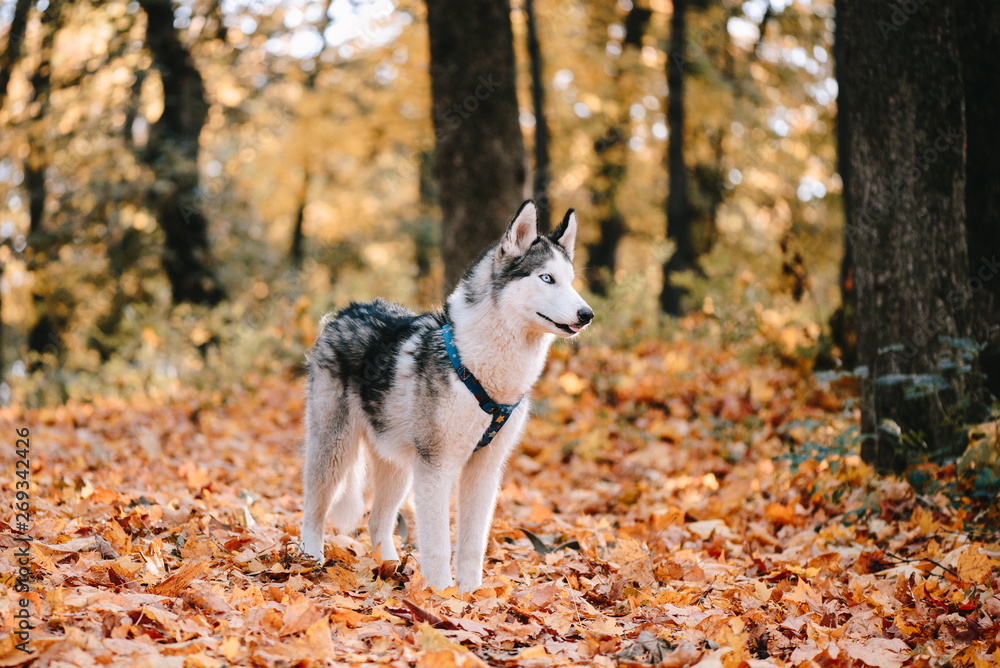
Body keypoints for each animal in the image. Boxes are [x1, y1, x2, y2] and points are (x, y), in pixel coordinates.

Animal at [300, 201, 588, 592]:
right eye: (546, 278)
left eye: (570, 281)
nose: (587, 314)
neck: (481, 369)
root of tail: (344, 313)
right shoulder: (437, 467)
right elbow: (437, 543)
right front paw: (441, 594)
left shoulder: (483, 471)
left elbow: (472, 544)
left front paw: (472, 596)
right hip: (336, 449)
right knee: (314, 509)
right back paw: (309, 561)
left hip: (399, 467)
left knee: (378, 522)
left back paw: (391, 568)